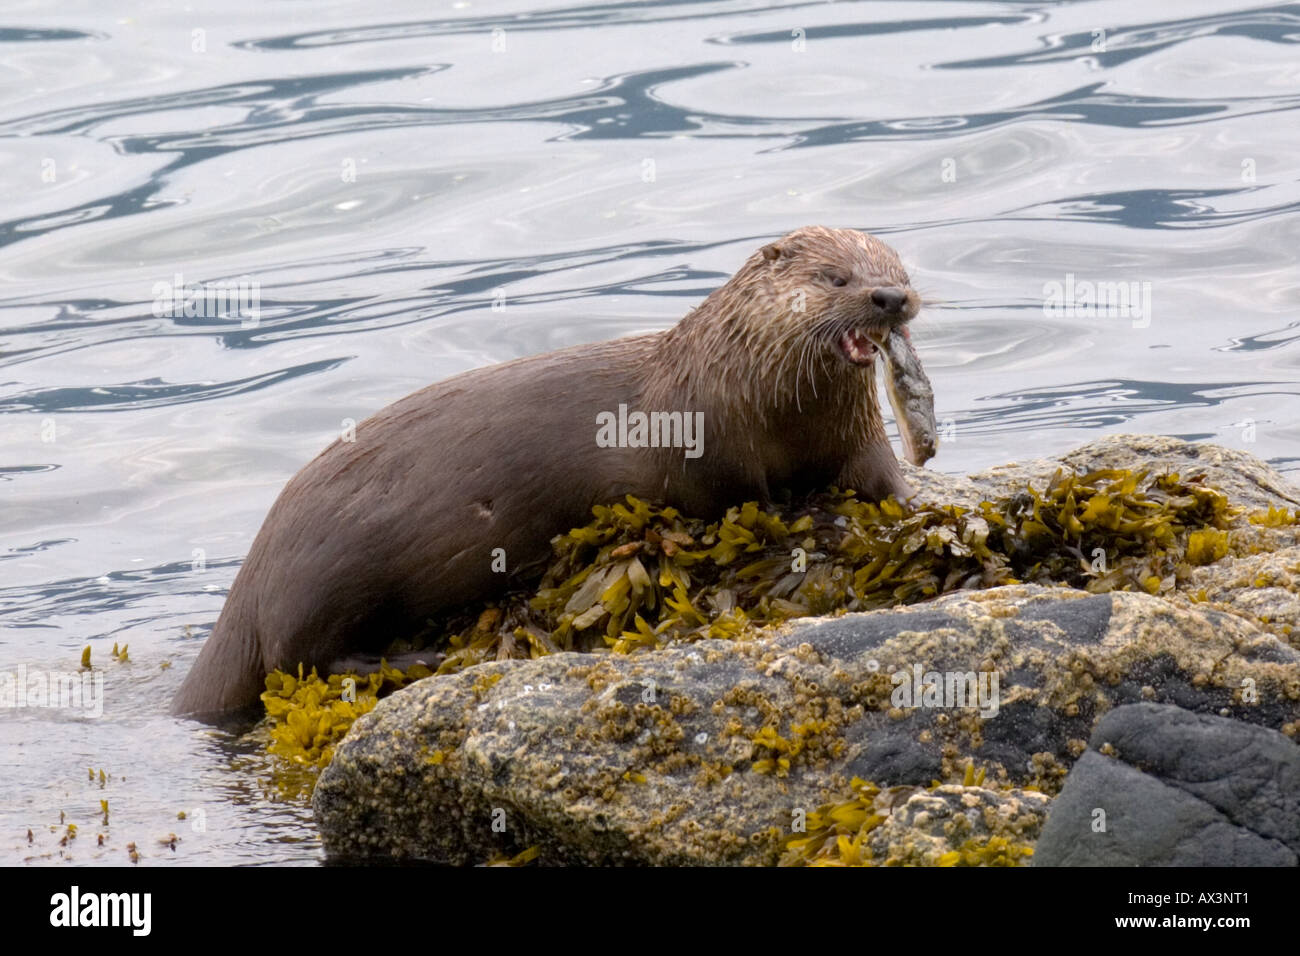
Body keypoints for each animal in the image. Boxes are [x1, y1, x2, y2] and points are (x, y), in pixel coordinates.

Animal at [172, 226, 923, 717]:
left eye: (901, 269)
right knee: (298, 658)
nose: (891, 297)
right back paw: (414, 659)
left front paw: (911, 510)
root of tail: (255, 567)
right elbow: (744, 502)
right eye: (836, 278)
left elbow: (883, 478)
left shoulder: (854, 435)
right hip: (326, 573)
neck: (762, 396)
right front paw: (804, 518)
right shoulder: (708, 448)